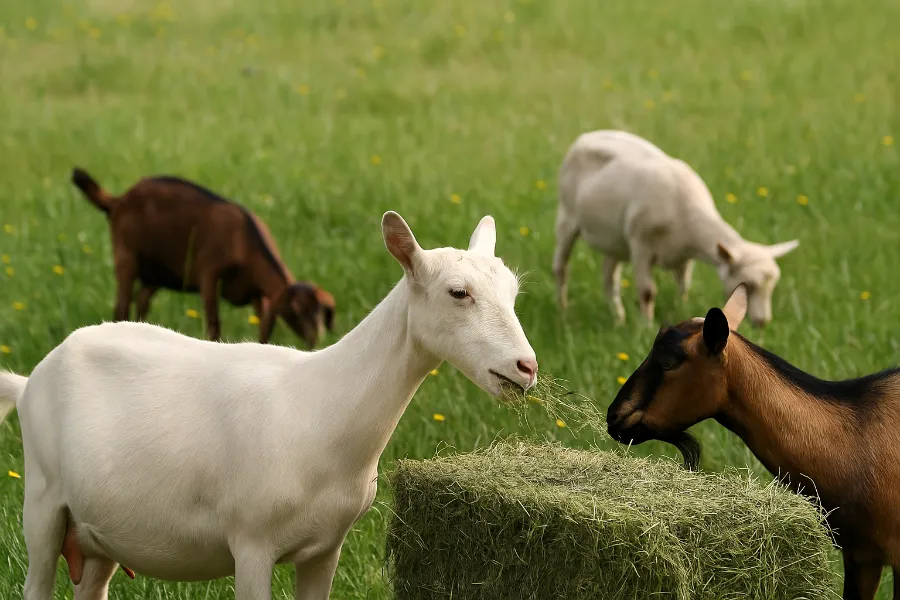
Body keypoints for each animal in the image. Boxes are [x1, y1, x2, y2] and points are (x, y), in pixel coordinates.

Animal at [0, 211, 538, 600]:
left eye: (514, 293)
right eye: (458, 292)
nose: (526, 367)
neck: (321, 406)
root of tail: (28, 382)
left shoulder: (327, 548)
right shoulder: (251, 543)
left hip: (98, 533)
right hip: (43, 502)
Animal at [71, 168, 335, 348]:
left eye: (322, 312)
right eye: (296, 311)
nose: (315, 339)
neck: (243, 239)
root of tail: (118, 200)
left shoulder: (258, 293)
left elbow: (265, 328)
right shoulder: (209, 274)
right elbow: (214, 325)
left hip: (159, 273)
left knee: (142, 300)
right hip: (126, 256)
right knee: (121, 306)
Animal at [554, 129, 799, 328]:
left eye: (772, 286)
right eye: (747, 284)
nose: (762, 322)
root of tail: (588, 135)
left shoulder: (683, 256)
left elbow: (684, 286)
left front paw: (683, 310)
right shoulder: (641, 244)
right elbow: (647, 291)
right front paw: (646, 326)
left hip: (615, 242)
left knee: (609, 278)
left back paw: (618, 318)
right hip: (567, 216)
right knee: (561, 267)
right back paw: (563, 310)